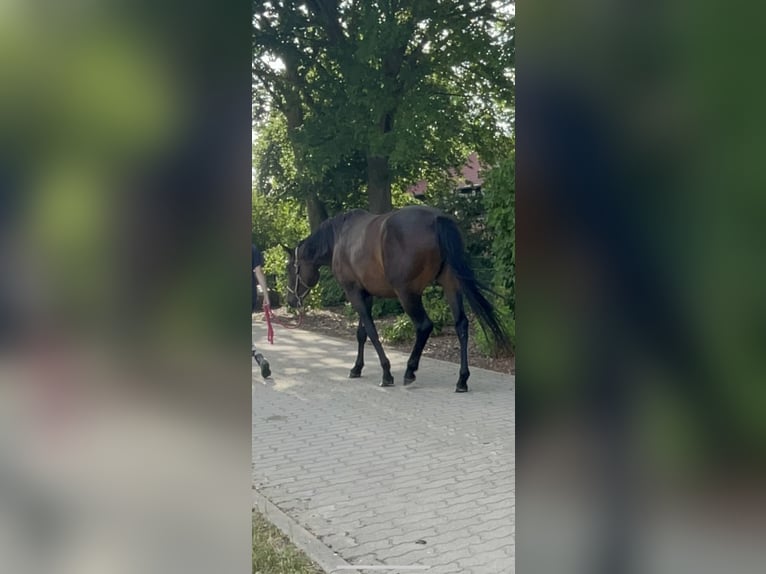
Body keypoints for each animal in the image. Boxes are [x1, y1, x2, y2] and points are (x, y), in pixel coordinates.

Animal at [285, 205, 509, 392]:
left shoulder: (354, 292)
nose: (290, 301)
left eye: (289, 268)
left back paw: (410, 371)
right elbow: (361, 333)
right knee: (461, 325)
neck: (341, 237)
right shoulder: (366, 294)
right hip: (451, 285)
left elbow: (372, 332)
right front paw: (357, 368)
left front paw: (386, 373)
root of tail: (436, 219)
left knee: (424, 326)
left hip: (408, 294)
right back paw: (462, 380)